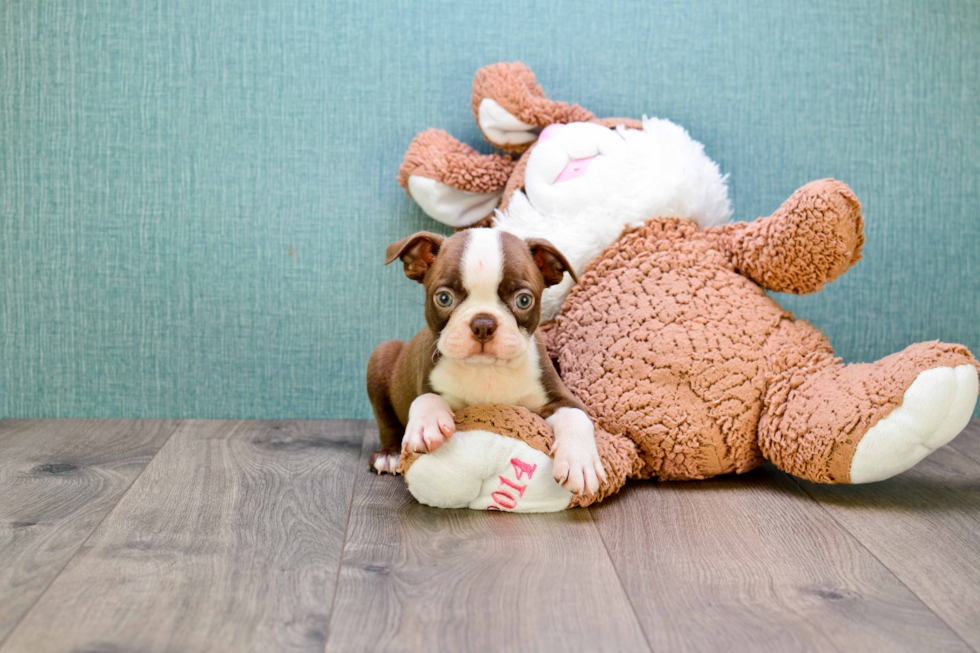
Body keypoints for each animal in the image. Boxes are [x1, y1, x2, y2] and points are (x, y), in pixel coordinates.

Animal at [368, 228, 604, 494]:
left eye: (524, 300)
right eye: (443, 298)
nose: (483, 323)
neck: (488, 369)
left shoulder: (560, 396)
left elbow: (577, 416)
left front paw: (579, 461)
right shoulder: (427, 377)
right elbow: (425, 398)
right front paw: (426, 425)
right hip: (381, 355)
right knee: (387, 422)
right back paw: (389, 455)